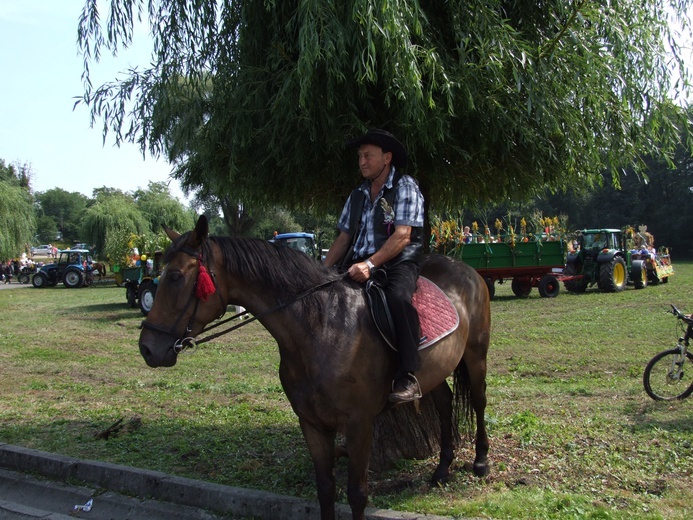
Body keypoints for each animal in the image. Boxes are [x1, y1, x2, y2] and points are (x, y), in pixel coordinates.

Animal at [138, 215, 490, 520]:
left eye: (176, 277)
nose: (147, 348)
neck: (322, 327)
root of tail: (466, 269)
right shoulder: (312, 423)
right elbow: (325, 489)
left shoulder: (358, 424)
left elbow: (357, 494)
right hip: (434, 368)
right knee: (445, 404)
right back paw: (442, 469)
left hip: (476, 356)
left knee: (478, 401)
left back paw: (481, 462)